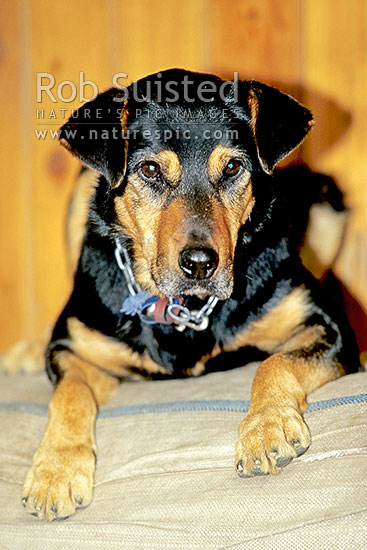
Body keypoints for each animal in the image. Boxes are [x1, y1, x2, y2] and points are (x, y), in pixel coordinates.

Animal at [20, 69, 360, 520]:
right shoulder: (72, 345)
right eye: (149, 170)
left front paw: (266, 428)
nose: (200, 264)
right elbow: (71, 393)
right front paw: (55, 472)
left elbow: (276, 362)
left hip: (328, 201)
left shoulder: (327, 325)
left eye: (233, 167)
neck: (184, 309)